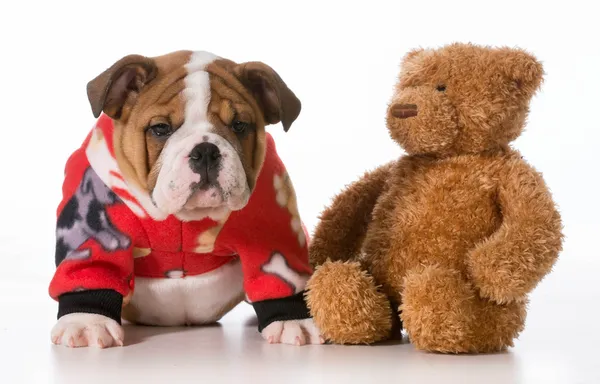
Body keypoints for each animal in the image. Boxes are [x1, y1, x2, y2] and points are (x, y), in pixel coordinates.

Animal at [49, 50, 324, 348]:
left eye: (239, 125)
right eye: (160, 128)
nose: (205, 151)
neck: (186, 217)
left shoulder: (271, 221)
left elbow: (278, 273)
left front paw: (292, 319)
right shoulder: (95, 224)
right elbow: (92, 267)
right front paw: (87, 321)